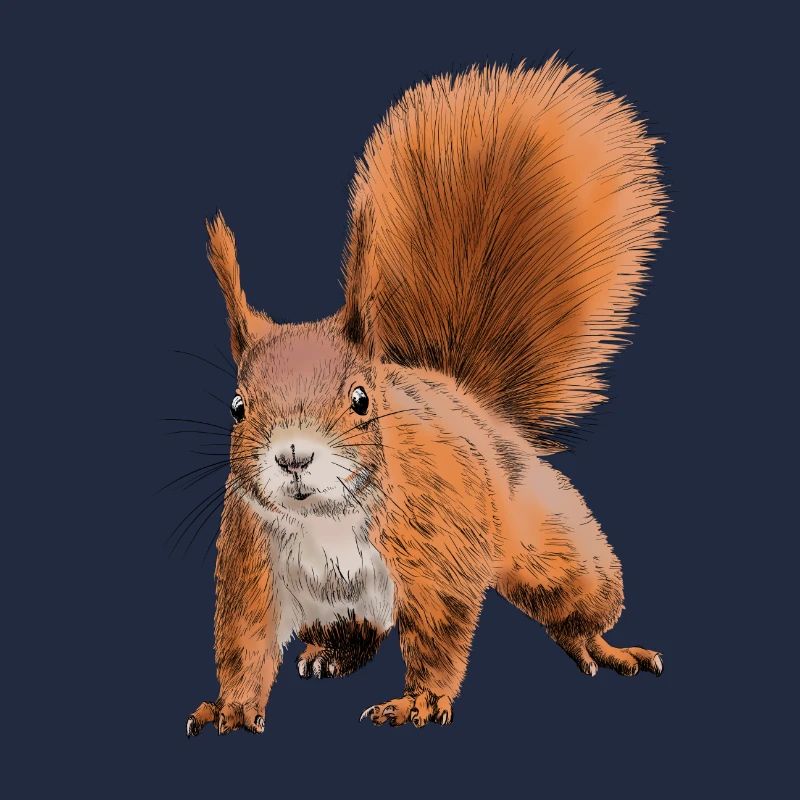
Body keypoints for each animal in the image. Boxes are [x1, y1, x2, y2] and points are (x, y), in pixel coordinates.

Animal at [185, 55, 667, 736]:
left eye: (361, 399)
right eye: (237, 408)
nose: (293, 456)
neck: (324, 520)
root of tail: (463, 394)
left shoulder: (438, 541)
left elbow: (440, 628)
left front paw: (417, 701)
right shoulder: (251, 560)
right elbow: (244, 641)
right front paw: (229, 706)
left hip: (548, 539)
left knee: (574, 593)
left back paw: (601, 644)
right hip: (335, 606)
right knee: (357, 633)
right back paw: (328, 654)